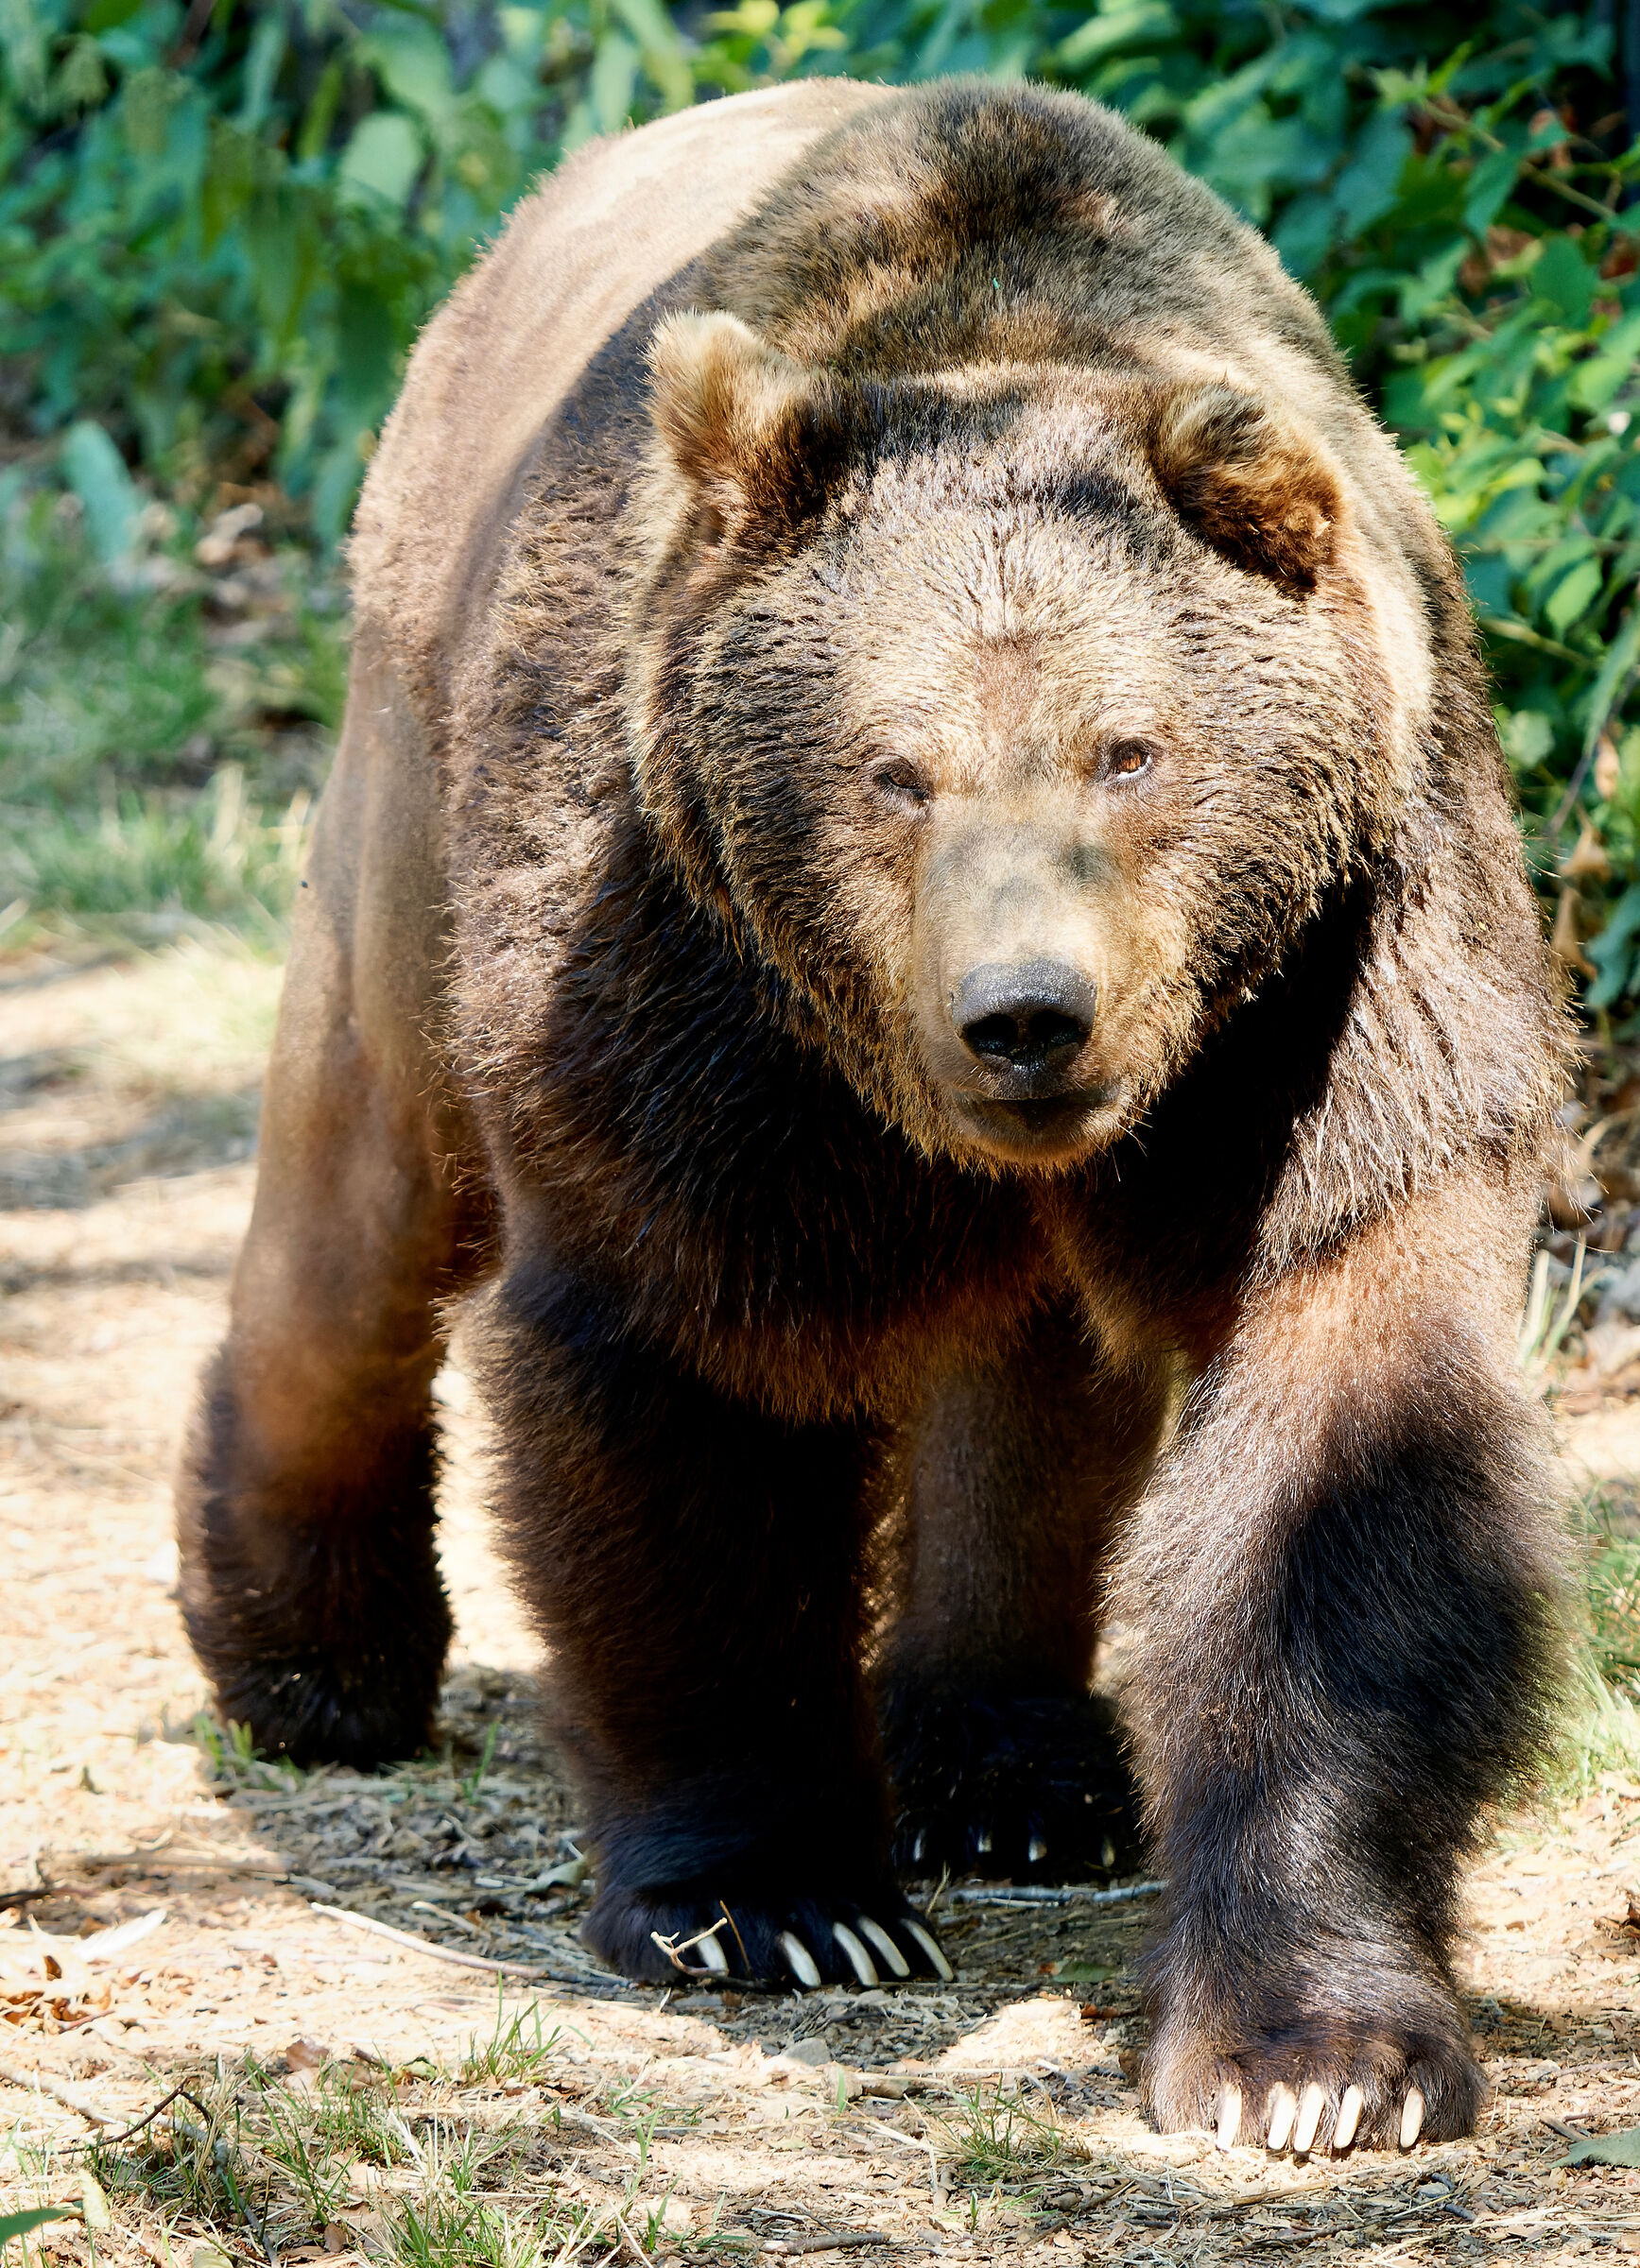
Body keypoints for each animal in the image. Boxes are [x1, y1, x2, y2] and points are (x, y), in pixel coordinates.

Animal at [176, 78, 1569, 2156]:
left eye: (1129, 749)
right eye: (892, 770)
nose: (1023, 1015)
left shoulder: (1335, 992)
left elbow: (1339, 1452)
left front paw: (1320, 2053)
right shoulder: (681, 977)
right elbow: (689, 1370)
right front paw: (774, 1900)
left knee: (1030, 1380)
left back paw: (1013, 1768)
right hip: (418, 781)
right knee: (362, 1196)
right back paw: (307, 1658)